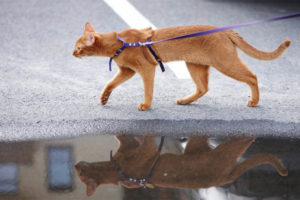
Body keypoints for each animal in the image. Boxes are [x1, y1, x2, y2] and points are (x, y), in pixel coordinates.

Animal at [72, 23, 290, 111]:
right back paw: (185, 101)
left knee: (253, 76)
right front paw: (104, 98)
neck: (120, 42)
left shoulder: (146, 68)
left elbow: (148, 90)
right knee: (203, 88)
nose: (72, 53)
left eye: (78, 47)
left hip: (225, 62)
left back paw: (254, 101)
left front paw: (146, 106)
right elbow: (110, 83)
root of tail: (226, 30)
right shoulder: (127, 71)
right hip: (195, 64)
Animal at [74, 135, 286, 196]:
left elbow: (124, 136)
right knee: (241, 142)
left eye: (81, 176)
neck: (118, 172)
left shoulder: (141, 149)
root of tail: (228, 176)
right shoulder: (144, 150)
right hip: (205, 147)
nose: (76, 166)